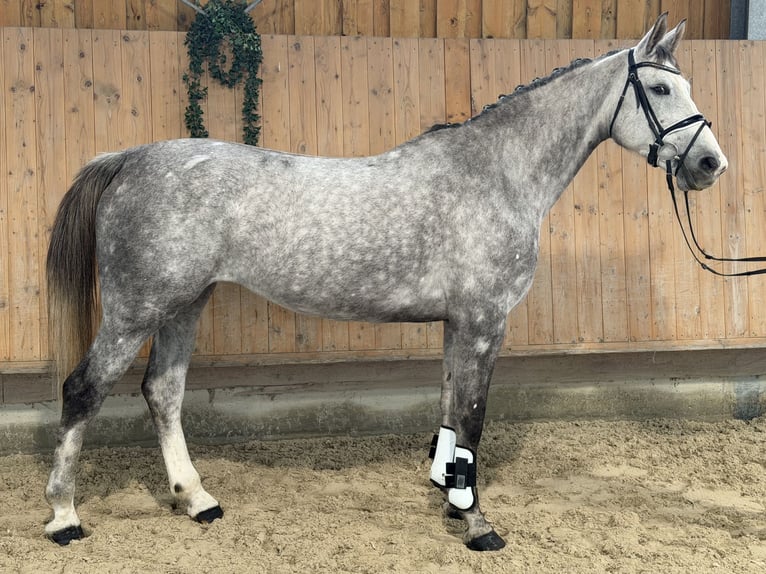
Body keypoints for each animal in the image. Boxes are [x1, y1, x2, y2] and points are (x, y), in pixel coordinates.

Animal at [44, 14, 726, 550]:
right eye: (660, 87)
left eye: (688, 85)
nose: (710, 164)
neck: (495, 174)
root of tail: (130, 159)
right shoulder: (484, 322)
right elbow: (472, 420)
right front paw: (478, 526)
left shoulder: (458, 325)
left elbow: (450, 413)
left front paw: (449, 497)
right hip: (137, 308)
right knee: (83, 389)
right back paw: (64, 517)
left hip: (185, 303)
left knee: (163, 391)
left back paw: (197, 500)